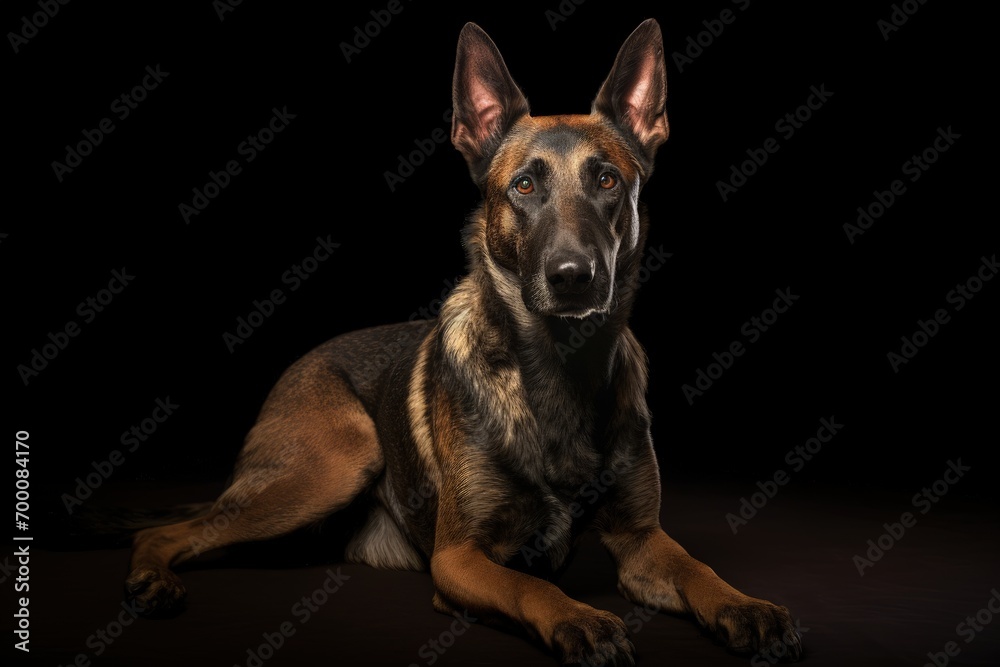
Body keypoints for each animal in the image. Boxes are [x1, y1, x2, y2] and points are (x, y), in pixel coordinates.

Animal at [125, 18, 800, 664]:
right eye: (523, 187)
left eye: (608, 181)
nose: (573, 276)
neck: (558, 368)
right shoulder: (459, 557)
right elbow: (531, 585)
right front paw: (578, 619)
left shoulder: (641, 541)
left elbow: (696, 569)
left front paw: (746, 606)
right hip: (335, 463)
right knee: (164, 532)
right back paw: (153, 579)